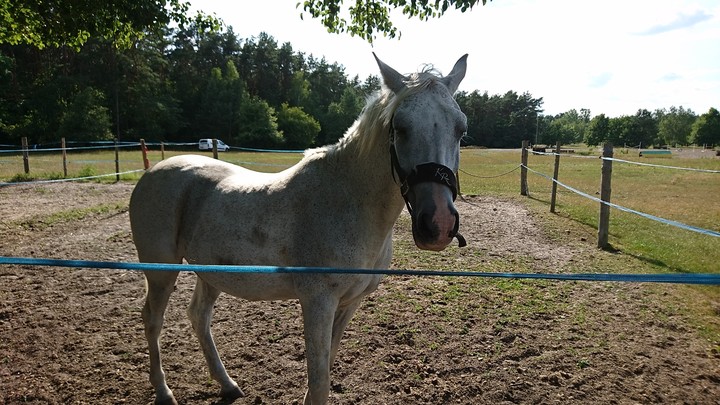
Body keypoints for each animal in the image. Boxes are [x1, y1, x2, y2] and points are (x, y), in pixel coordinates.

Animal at [128, 52, 469, 405]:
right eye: (400, 128)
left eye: (461, 130)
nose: (438, 224)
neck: (346, 201)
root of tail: (153, 171)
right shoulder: (317, 303)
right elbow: (319, 383)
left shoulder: (348, 304)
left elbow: (325, 370)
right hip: (160, 272)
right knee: (152, 320)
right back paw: (164, 391)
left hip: (210, 273)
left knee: (198, 317)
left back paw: (227, 384)